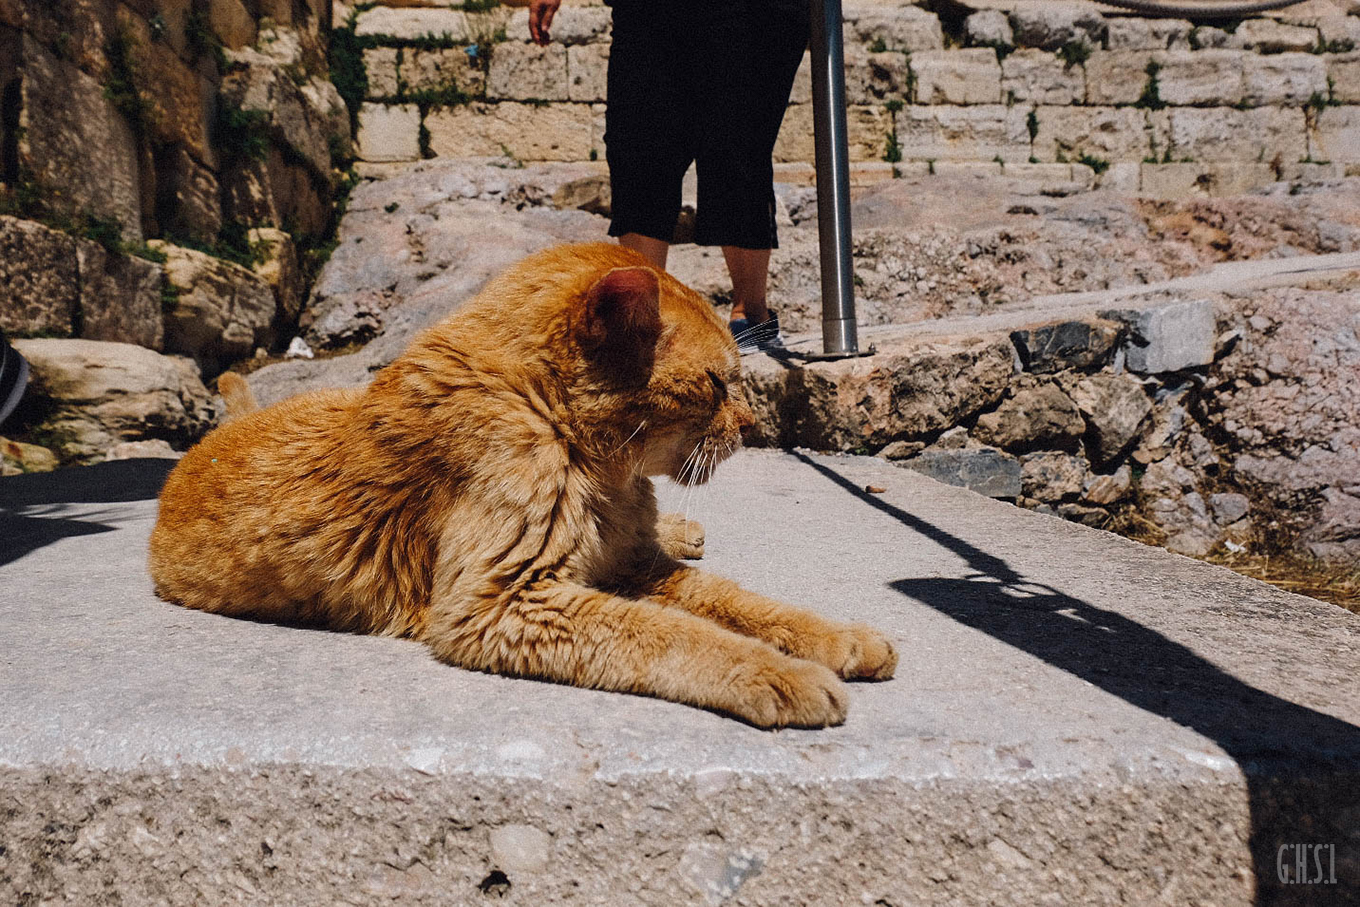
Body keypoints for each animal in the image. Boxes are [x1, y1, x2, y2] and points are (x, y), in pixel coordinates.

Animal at [148, 244, 897, 728]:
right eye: (718, 385)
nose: (750, 426)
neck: (602, 471)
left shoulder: (633, 566)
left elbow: (747, 604)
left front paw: (841, 638)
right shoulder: (503, 600)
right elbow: (677, 635)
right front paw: (779, 674)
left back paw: (684, 528)